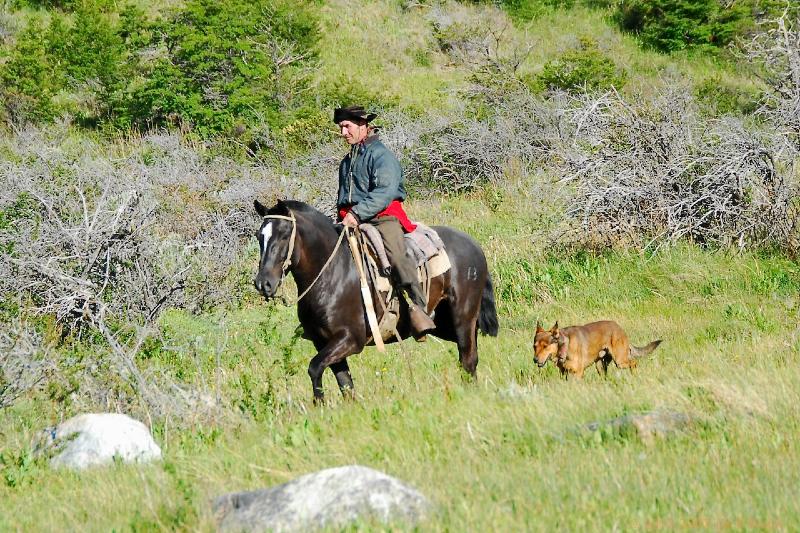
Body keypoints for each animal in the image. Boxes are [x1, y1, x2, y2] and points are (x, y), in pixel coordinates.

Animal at [253, 198, 496, 400]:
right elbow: (344, 383)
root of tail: (474, 245)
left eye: (284, 235)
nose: (263, 283)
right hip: (444, 324)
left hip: (462, 317)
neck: (332, 273)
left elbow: (314, 368)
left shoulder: (350, 340)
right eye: (259, 236)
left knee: (467, 358)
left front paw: (318, 404)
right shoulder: (324, 342)